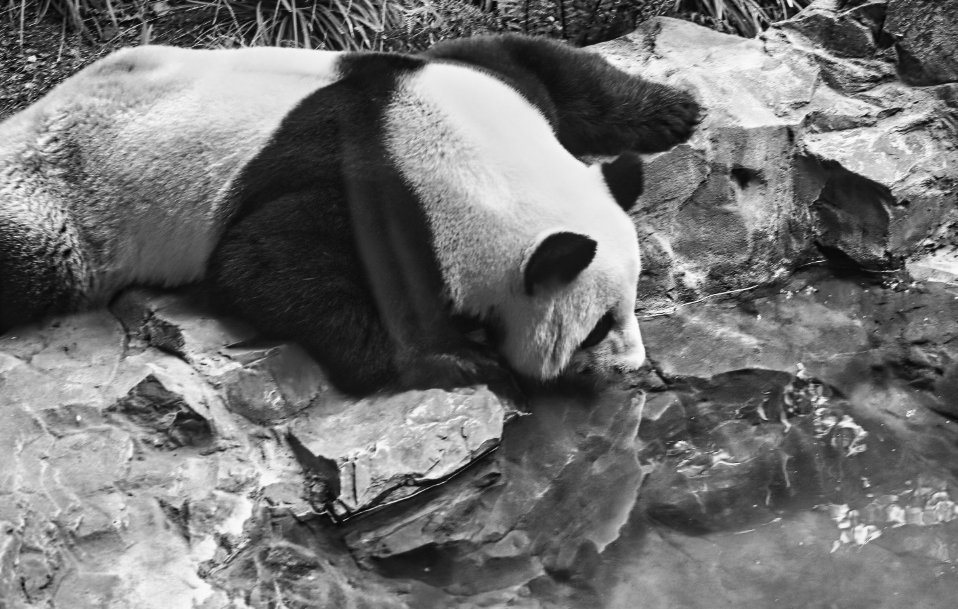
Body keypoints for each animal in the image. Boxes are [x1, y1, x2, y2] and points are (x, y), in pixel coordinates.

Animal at [0, 34, 692, 394]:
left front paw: (673, 111)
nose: (633, 367)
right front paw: (458, 361)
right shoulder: (371, 189)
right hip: (59, 200)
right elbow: (264, 263)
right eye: (598, 328)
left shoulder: (467, 80)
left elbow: (534, 61)